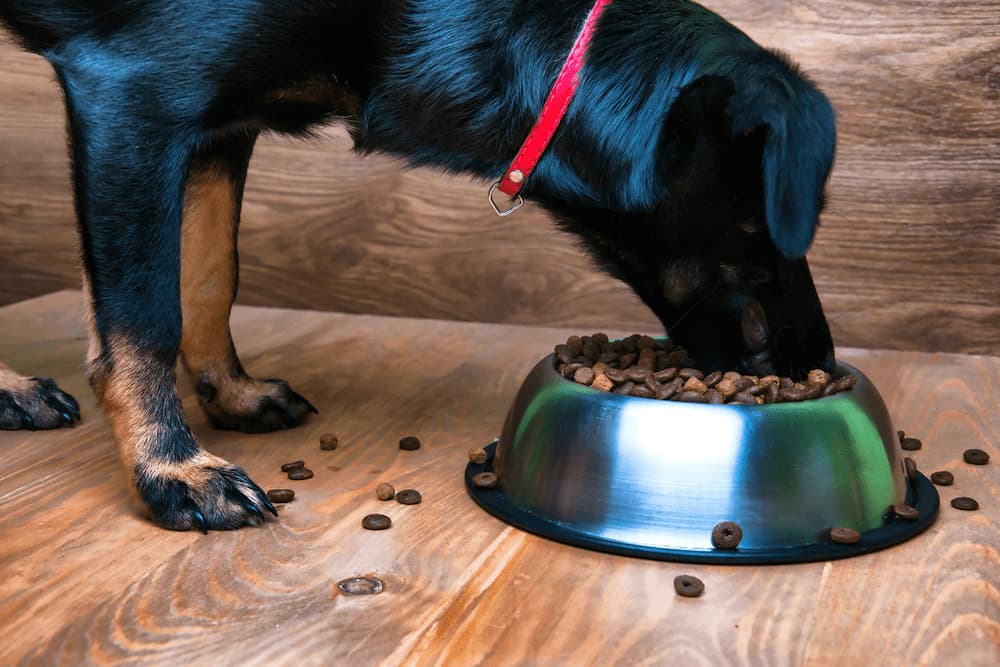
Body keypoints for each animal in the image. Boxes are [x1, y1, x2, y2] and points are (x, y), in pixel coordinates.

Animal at [0, 0, 836, 532]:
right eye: (765, 224)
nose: (817, 365)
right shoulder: (136, 92)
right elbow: (144, 314)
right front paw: (171, 469)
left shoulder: (216, 119)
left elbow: (209, 274)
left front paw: (229, 390)